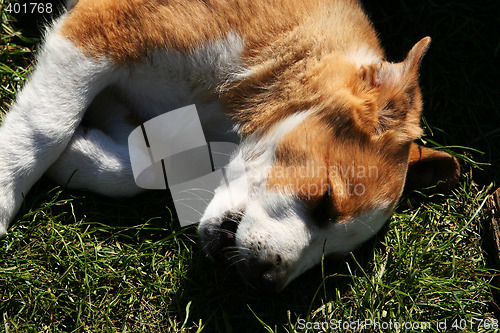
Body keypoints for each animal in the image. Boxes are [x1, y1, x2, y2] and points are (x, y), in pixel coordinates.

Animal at [0, 0, 460, 290]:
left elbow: (139, 166)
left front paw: (77, 156)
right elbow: (46, 125)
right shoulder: (101, 29)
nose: (266, 283)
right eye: (326, 200)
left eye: (332, 260)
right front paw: (6, 190)